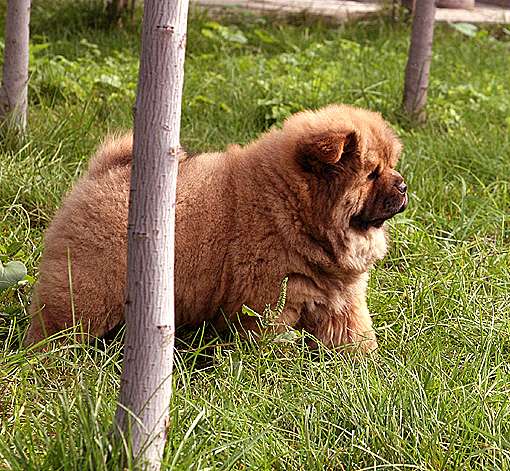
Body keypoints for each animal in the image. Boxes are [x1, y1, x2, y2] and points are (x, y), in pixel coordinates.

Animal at [25, 105, 408, 352]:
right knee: (57, 325)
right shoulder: (269, 305)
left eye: (391, 166)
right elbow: (274, 343)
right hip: (89, 289)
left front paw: (366, 368)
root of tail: (103, 173)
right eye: (372, 174)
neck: (293, 208)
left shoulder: (342, 299)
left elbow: (354, 334)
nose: (404, 185)